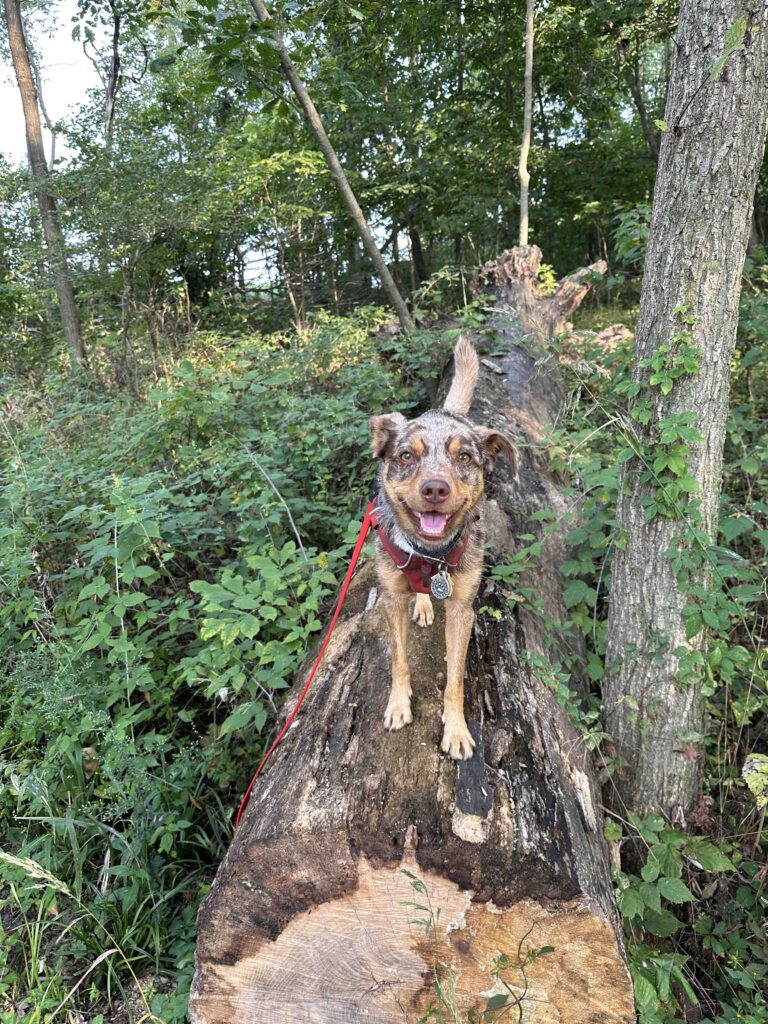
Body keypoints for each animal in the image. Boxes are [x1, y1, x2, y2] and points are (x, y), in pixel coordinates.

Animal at [370, 337, 518, 761]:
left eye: (464, 456)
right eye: (406, 455)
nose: (435, 489)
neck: (428, 554)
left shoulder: (462, 609)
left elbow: (456, 681)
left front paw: (456, 730)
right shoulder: (390, 599)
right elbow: (399, 661)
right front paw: (398, 705)